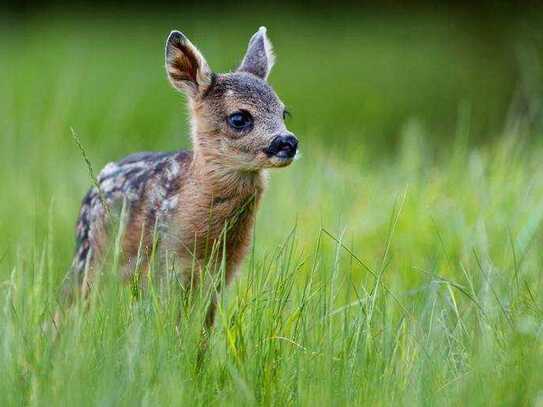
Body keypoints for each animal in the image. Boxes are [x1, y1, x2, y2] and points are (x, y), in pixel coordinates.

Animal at [64, 27, 302, 330]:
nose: (288, 142)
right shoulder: (167, 266)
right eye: (239, 118)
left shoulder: (221, 275)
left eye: (284, 113)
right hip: (90, 262)